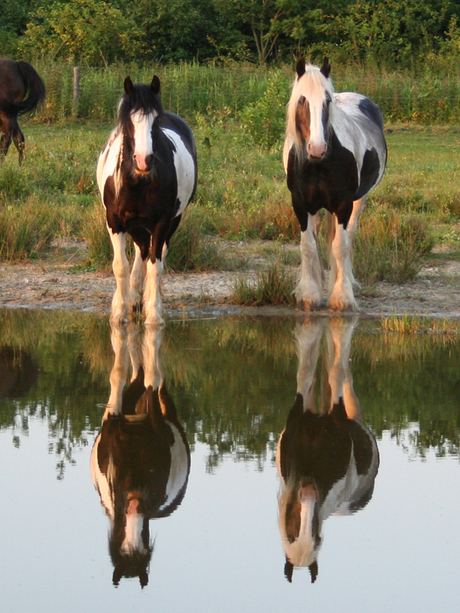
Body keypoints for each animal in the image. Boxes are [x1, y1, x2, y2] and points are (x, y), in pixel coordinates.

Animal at [90, 326, 191, 588]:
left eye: (145, 542)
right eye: (116, 547)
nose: (135, 506)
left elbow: (152, 379)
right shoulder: (113, 423)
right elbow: (120, 377)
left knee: (153, 379)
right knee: (137, 371)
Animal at [96, 76, 197, 326]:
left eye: (155, 121)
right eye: (128, 120)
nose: (144, 161)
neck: (138, 182)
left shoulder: (162, 222)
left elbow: (155, 266)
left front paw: (153, 313)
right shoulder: (115, 221)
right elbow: (120, 266)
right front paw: (119, 312)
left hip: (171, 221)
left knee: (153, 254)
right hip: (135, 225)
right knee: (141, 249)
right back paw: (132, 299)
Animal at [276, 320, 378, 584]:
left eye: (316, 533)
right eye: (291, 530)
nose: (308, 492)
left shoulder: (338, 414)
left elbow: (335, 372)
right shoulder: (298, 411)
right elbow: (305, 372)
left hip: (351, 406)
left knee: (343, 376)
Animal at [282, 57, 386, 310]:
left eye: (327, 101)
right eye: (302, 99)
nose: (317, 148)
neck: (318, 164)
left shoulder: (343, 204)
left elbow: (340, 246)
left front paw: (342, 296)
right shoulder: (301, 203)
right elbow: (308, 247)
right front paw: (309, 294)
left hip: (359, 200)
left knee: (348, 238)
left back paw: (348, 282)